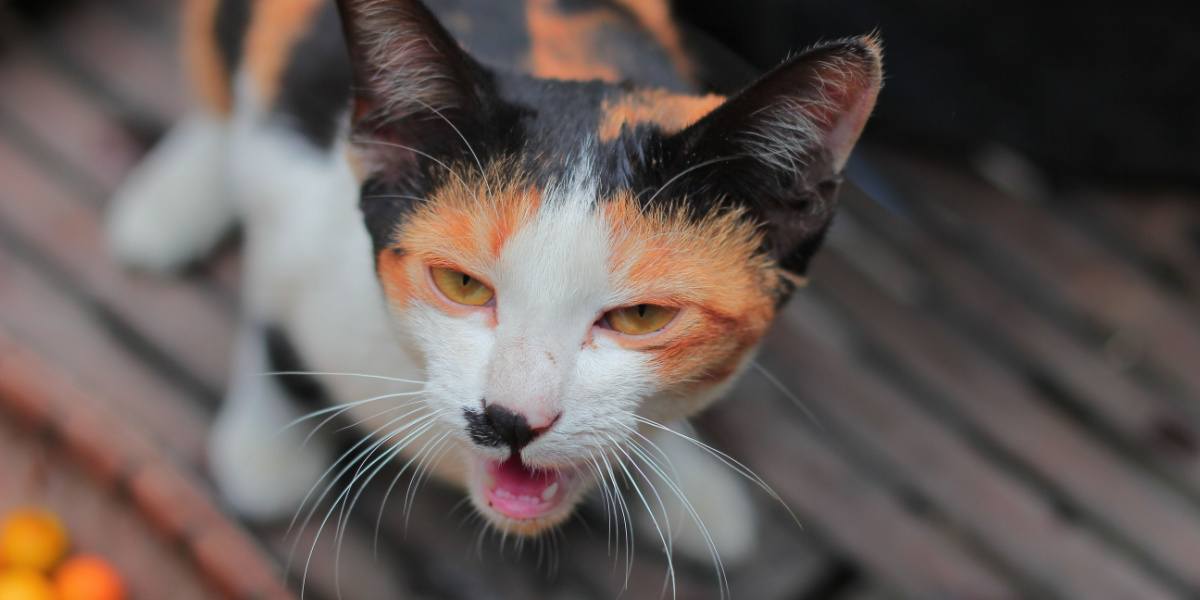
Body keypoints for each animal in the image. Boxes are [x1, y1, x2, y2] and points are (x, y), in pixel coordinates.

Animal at [105, 0, 883, 580]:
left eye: (640, 315)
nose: (510, 421)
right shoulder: (289, 175)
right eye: (460, 282)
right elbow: (273, 293)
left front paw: (683, 474)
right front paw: (269, 438)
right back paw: (178, 193)